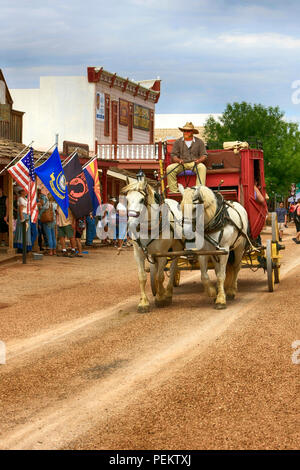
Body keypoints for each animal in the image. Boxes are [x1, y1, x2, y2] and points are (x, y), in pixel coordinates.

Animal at [122, 179, 183, 312]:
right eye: (127, 199)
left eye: (141, 200)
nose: (130, 224)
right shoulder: (138, 253)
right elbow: (142, 276)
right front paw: (144, 302)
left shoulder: (162, 254)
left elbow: (160, 276)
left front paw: (160, 298)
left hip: (176, 249)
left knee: (173, 268)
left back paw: (168, 293)